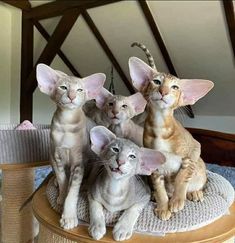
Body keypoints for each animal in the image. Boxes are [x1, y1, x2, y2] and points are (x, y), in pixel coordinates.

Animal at [36, 63, 105, 229]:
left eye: (79, 90)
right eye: (63, 87)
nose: (72, 96)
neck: (66, 125)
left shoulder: (78, 163)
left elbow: (73, 191)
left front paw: (69, 216)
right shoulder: (56, 157)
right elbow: (63, 180)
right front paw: (61, 197)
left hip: (94, 159)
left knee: (91, 175)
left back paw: (86, 185)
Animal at [127, 56, 214, 220]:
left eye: (175, 87)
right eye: (156, 82)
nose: (163, 91)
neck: (160, 127)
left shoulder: (194, 149)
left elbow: (183, 175)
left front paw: (177, 200)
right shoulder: (154, 165)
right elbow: (160, 188)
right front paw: (163, 206)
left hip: (200, 167)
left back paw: (194, 193)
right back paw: (155, 195)